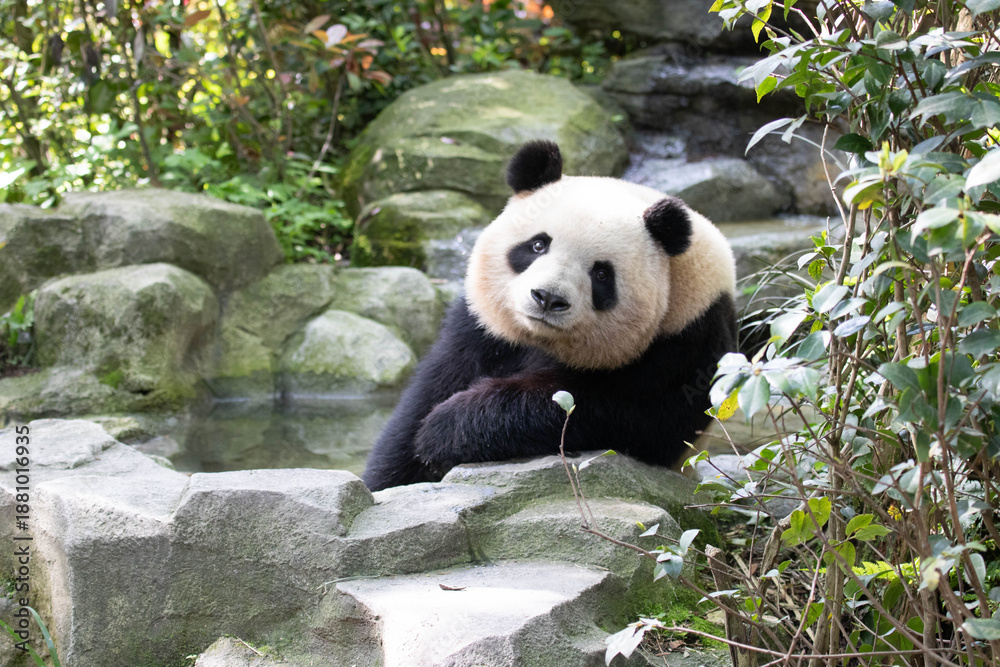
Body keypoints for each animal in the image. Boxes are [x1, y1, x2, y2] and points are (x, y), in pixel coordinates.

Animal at [362, 140, 738, 492]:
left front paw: (445, 429)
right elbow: (425, 398)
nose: (548, 298)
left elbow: (623, 414)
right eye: (538, 245)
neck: (545, 340)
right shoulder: (480, 330)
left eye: (602, 274)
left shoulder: (688, 339)